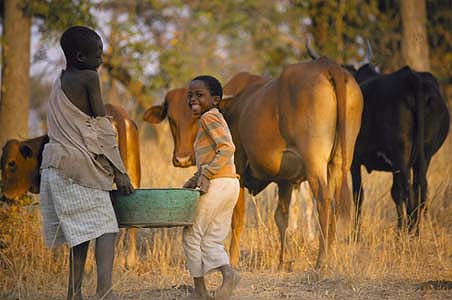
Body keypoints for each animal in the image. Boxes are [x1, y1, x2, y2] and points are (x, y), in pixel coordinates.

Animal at [145, 57, 364, 268]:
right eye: (171, 118)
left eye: (195, 117)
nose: (182, 158)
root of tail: (326, 64)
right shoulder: (285, 180)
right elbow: (281, 217)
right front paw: (282, 261)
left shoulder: (239, 171)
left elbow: (237, 218)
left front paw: (232, 260)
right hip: (339, 163)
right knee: (335, 202)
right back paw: (332, 254)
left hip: (315, 163)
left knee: (324, 200)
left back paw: (322, 260)